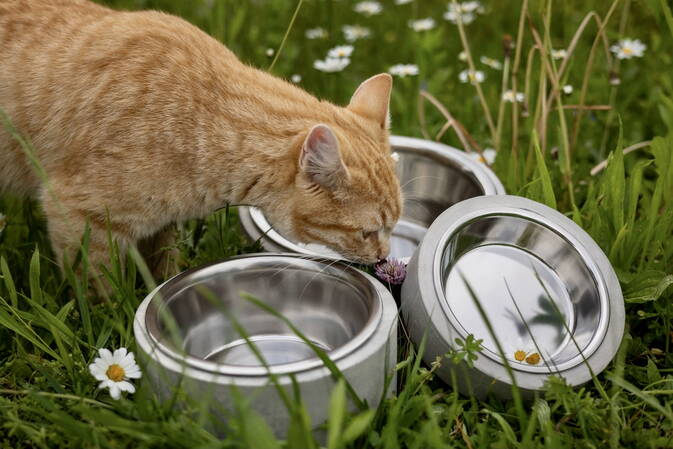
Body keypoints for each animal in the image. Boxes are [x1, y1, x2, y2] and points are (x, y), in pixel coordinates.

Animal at [0, 0, 400, 280]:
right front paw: (110, 320)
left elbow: (162, 266)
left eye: (393, 226)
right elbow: (98, 291)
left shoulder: (160, 226)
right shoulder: (74, 214)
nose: (383, 257)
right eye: (367, 232)